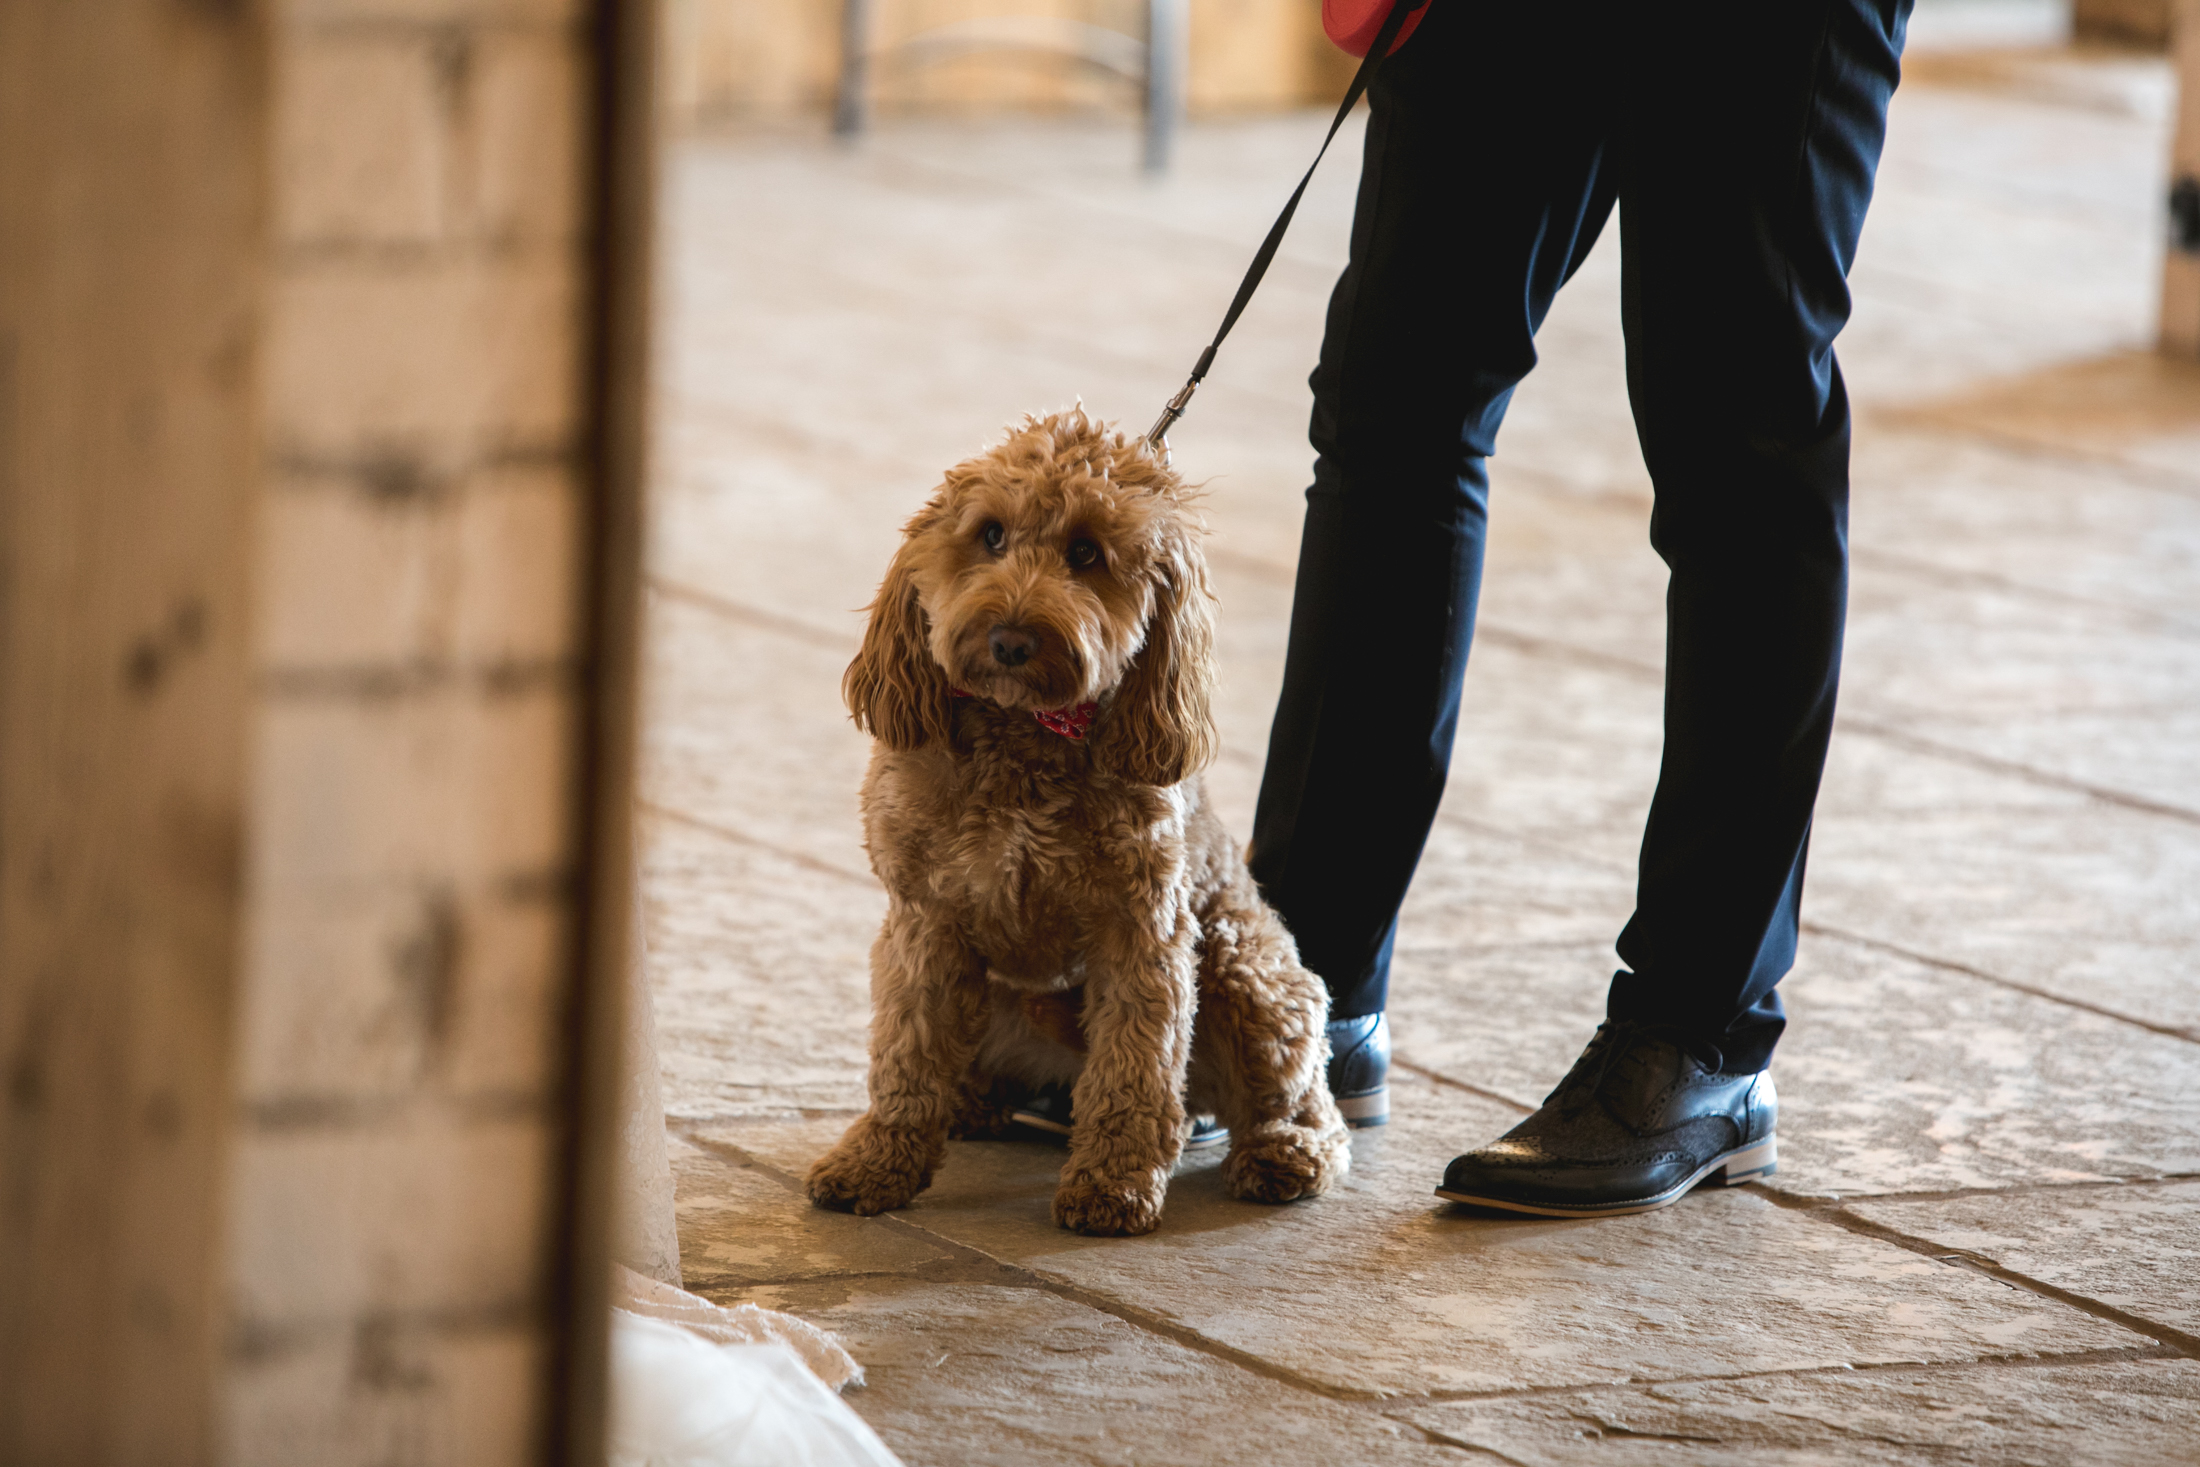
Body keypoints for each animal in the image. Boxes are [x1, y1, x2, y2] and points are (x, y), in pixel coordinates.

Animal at [809, 404, 1346, 1240]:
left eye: (1087, 553)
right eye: (990, 534)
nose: (1010, 638)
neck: (1023, 734)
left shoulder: (1142, 930)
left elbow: (1134, 1067)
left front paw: (1113, 1184)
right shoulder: (925, 922)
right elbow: (907, 1055)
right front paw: (878, 1161)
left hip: (1243, 962)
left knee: (1298, 1097)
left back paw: (1283, 1152)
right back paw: (972, 1104)